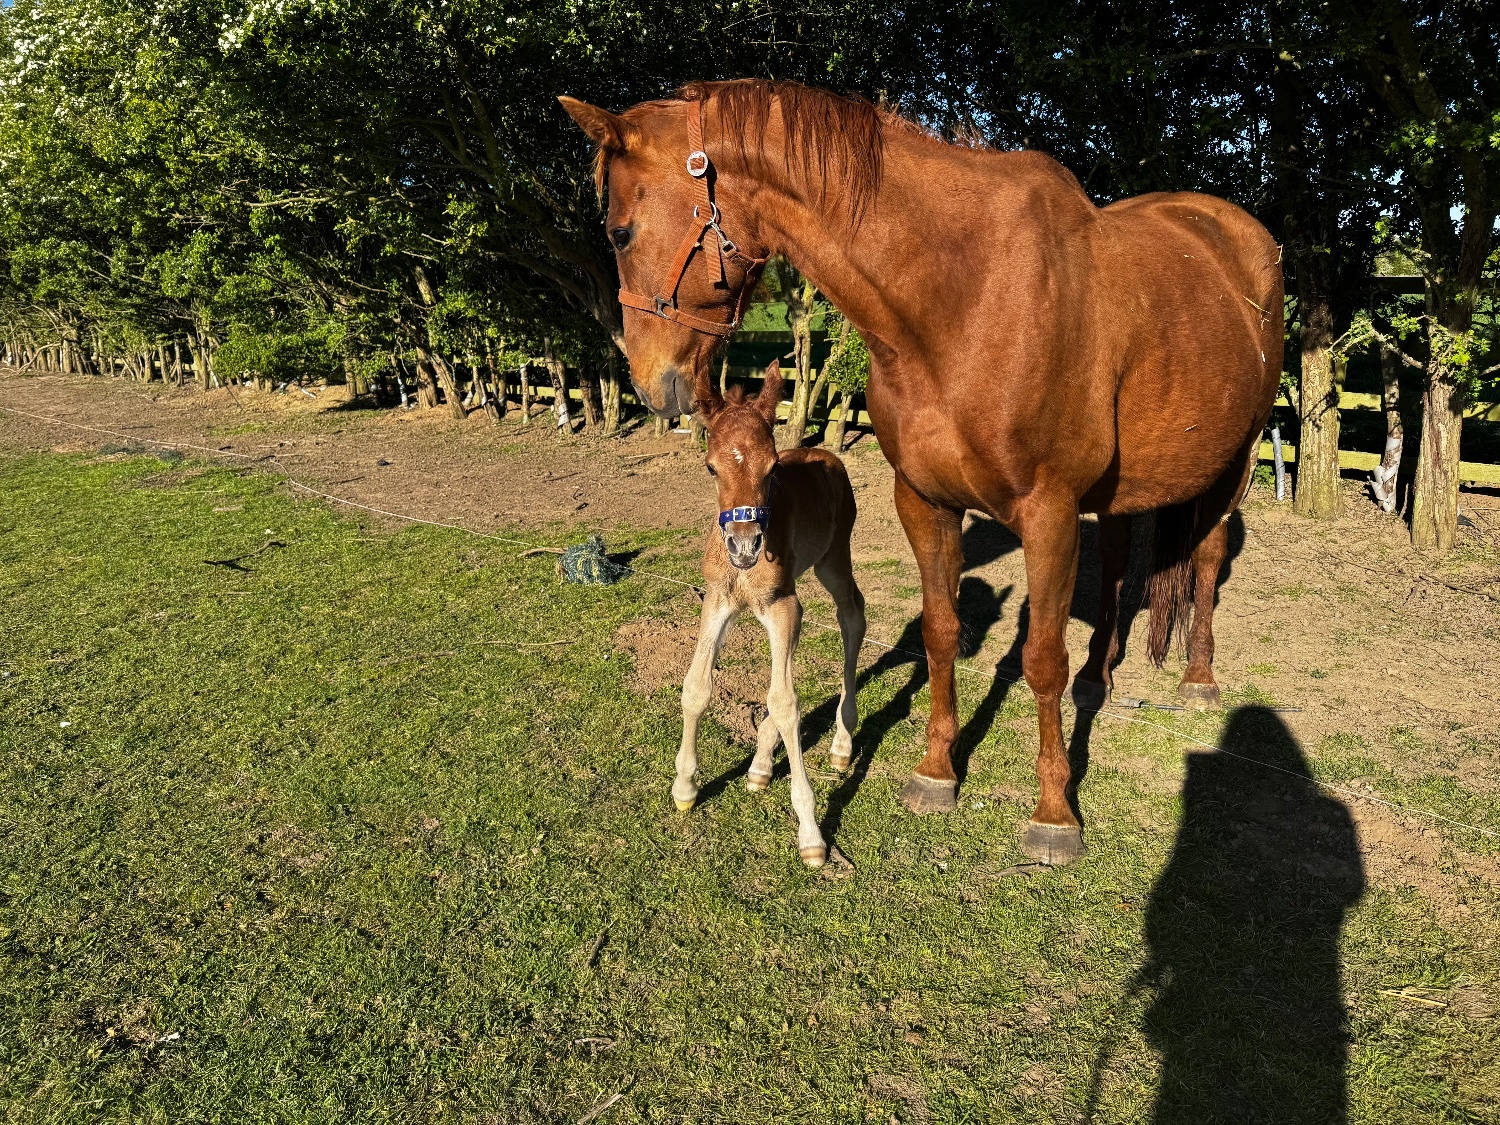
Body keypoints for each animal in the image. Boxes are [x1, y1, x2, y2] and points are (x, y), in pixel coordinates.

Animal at [673, 360, 866, 868]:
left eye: (773, 467)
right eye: (711, 466)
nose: (744, 546)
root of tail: (827, 455)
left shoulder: (783, 606)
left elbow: (784, 702)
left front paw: (812, 834)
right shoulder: (718, 601)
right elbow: (696, 687)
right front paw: (685, 787)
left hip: (834, 558)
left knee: (852, 615)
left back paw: (842, 742)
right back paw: (760, 765)